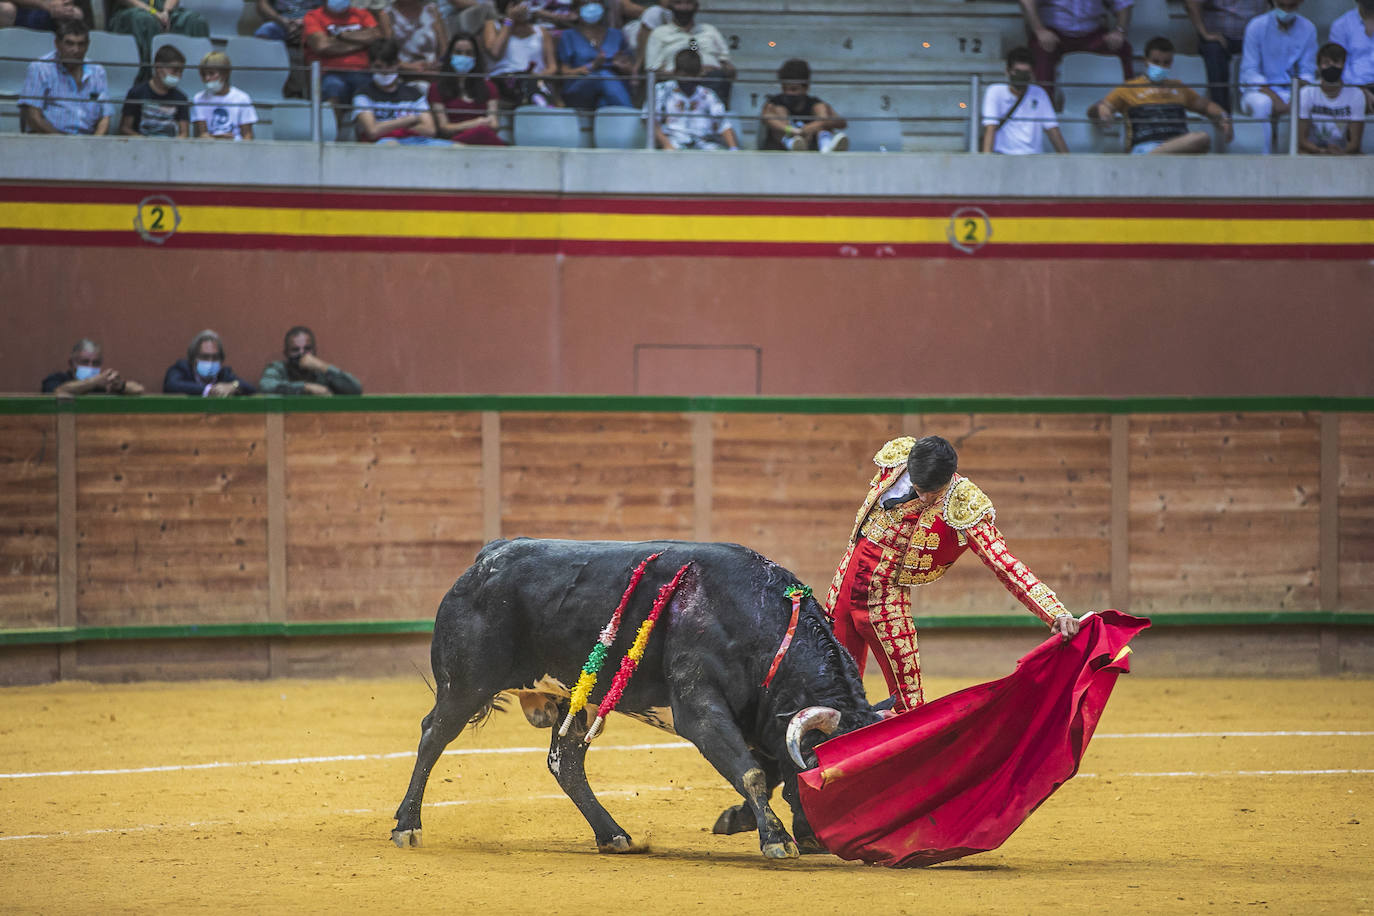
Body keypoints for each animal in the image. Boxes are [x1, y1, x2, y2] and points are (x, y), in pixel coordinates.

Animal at [390, 538, 879, 862]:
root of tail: (489, 556)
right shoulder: (700, 712)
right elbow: (753, 772)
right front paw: (777, 839)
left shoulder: (760, 721)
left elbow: (776, 772)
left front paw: (767, 825)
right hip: (464, 685)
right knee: (433, 736)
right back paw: (407, 826)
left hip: (577, 702)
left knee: (565, 764)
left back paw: (613, 836)